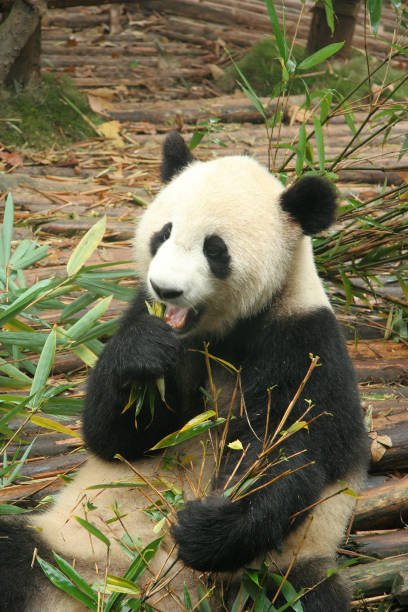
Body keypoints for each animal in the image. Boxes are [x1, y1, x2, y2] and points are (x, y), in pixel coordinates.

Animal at [0, 134, 368, 612]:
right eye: (163, 233)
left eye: (215, 249)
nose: (166, 289)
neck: (219, 331)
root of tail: (128, 593)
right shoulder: (152, 322)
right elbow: (115, 438)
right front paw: (143, 357)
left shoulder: (303, 344)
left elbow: (288, 450)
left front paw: (203, 528)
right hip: (69, 550)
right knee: (15, 552)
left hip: (274, 575)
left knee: (304, 594)